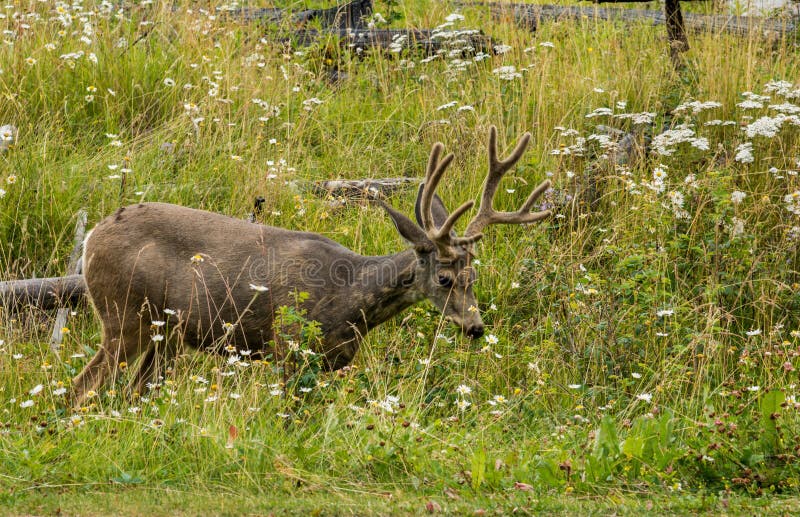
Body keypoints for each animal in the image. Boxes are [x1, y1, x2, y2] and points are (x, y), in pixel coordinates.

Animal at [70, 126, 551, 407]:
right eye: (446, 277)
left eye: (476, 276)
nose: (476, 327)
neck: (349, 299)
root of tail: (92, 237)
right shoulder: (288, 345)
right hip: (123, 314)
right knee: (83, 385)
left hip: (167, 333)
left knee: (136, 390)